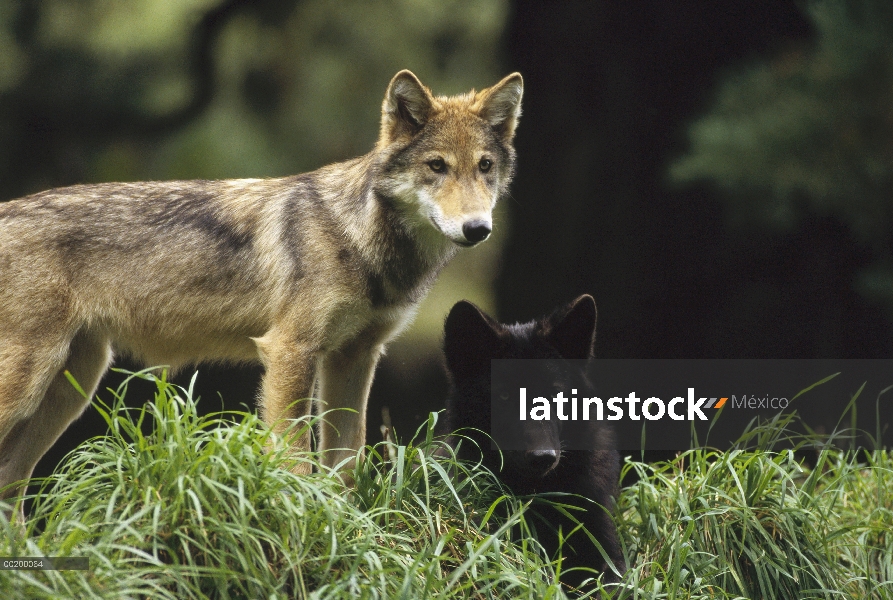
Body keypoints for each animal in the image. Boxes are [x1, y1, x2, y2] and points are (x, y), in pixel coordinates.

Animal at [0, 67, 524, 516]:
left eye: (484, 167)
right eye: (437, 166)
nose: (477, 229)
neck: (357, 235)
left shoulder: (355, 357)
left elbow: (346, 462)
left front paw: (348, 529)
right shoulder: (290, 351)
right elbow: (296, 458)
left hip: (72, 388)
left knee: (11, 484)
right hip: (34, 384)